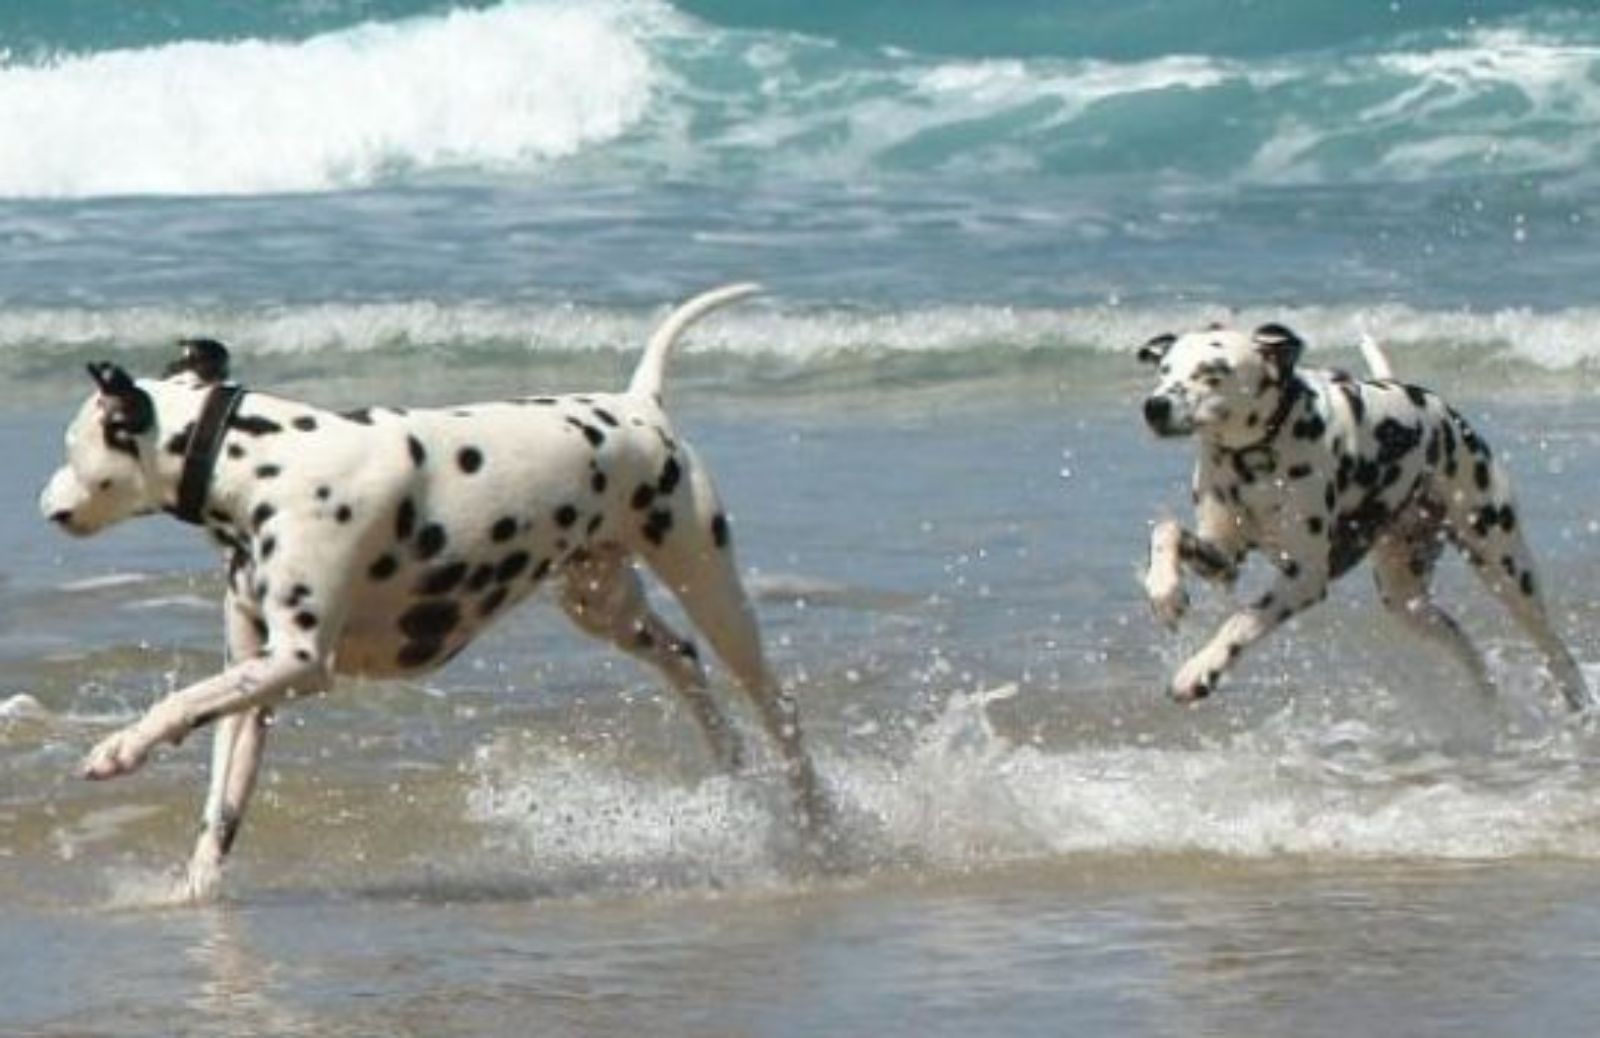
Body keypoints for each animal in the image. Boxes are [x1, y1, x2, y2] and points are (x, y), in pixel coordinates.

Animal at [43, 283, 832, 895]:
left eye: (71, 449)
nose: (44, 505)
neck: (264, 462)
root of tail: (640, 404)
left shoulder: (298, 663)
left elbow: (178, 702)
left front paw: (119, 748)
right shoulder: (253, 682)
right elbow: (221, 808)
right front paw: (197, 888)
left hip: (709, 583)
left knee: (778, 707)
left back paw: (815, 819)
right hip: (604, 605)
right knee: (683, 661)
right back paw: (728, 760)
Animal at [1139, 319, 1587, 706]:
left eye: (1212, 371)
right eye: (1164, 369)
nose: (1154, 405)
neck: (1253, 459)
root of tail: (1439, 413)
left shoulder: (1303, 577)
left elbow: (1241, 622)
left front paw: (1199, 671)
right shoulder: (1222, 558)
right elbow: (1166, 530)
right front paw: (1164, 590)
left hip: (1505, 568)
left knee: (1552, 644)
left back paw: (1576, 696)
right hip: (1406, 601)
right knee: (1464, 642)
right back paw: (1485, 692)